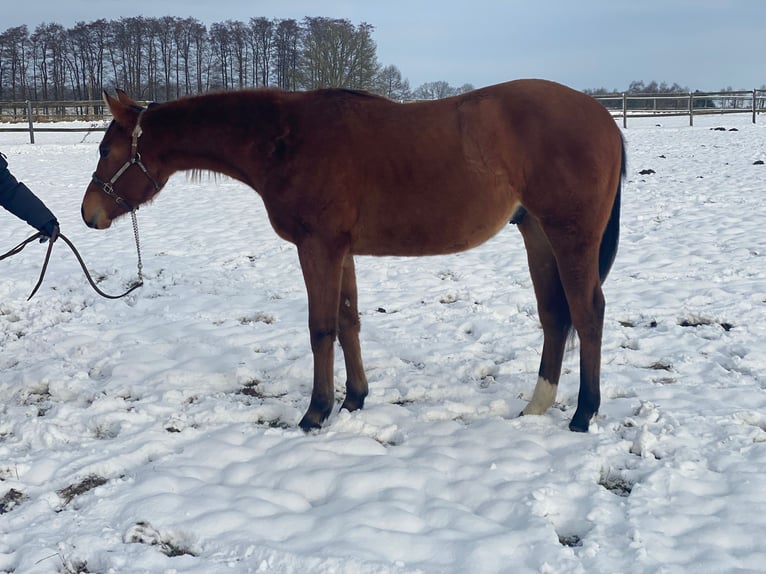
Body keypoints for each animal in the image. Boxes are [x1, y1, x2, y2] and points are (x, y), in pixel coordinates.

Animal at [82, 79, 625, 433]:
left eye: (107, 151)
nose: (89, 214)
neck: (285, 139)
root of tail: (603, 118)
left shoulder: (317, 247)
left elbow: (321, 328)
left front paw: (315, 413)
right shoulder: (340, 250)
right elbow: (348, 322)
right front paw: (355, 400)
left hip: (569, 235)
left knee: (587, 313)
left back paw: (584, 414)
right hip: (537, 233)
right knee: (555, 315)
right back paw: (537, 406)